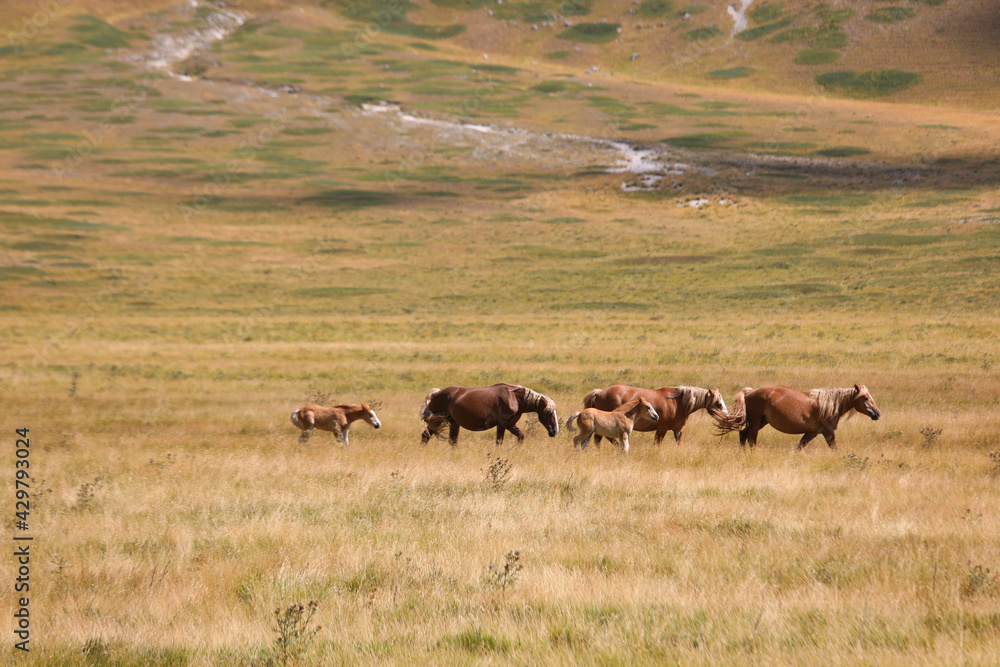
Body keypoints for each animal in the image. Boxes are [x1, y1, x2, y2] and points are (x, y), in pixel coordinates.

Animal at [416, 384, 564, 446]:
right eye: (549, 413)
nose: (555, 431)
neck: (514, 398)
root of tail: (438, 392)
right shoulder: (502, 425)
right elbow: (499, 442)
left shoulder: (511, 425)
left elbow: (520, 437)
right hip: (441, 421)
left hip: (452, 423)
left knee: (438, 438)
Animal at [584, 384, 732, 446]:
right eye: (718, 404)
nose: (727, 416)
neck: (678, 402)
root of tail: (600, 392)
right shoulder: (661, 429)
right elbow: (657, 443)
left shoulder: (678, 429)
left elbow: (679, 443)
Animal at [712, 384, 884, 452]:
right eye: (865, 398)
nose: (877, 414)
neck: (827, 406)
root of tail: (750, 392)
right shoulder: (828, 433)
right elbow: (834, 448)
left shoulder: (811, 433)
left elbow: (798, 447)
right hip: (755, 423)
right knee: (751, 440)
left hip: (762, 422)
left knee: (743, 435)